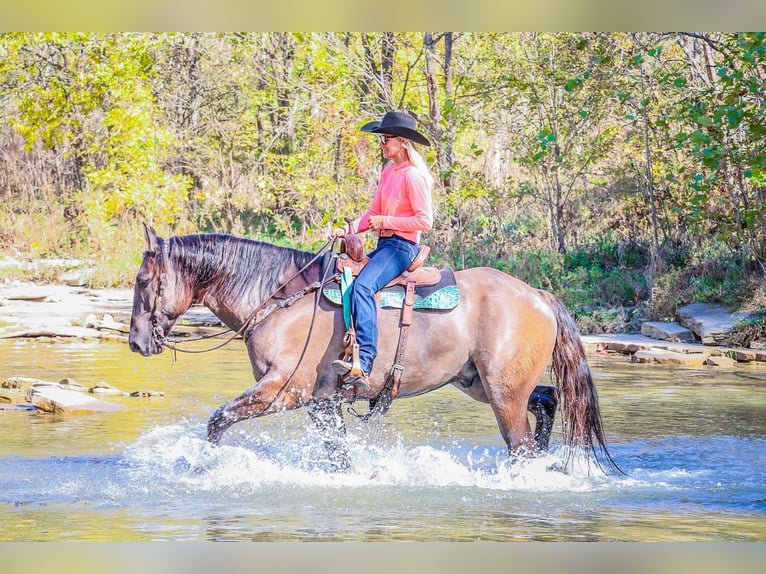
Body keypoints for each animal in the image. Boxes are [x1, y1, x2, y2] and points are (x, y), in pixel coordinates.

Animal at [129, 227, 620, 474]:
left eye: (142, 280)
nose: (136, 342)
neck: (277, 297)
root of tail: (537, 294)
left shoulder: (282, 392)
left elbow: (217, 422)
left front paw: (206, 468)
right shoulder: (321, 403)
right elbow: (339, 456)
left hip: (503, 393)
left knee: (520, 441)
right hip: (480, 382)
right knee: (547, 399)